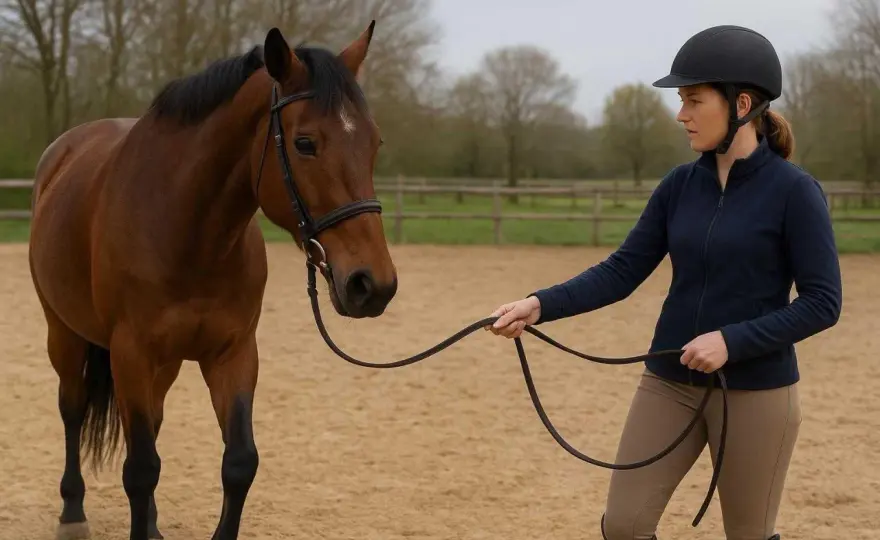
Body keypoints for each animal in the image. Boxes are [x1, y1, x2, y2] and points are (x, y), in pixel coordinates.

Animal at [27, 22, 397, 540]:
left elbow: (238, 463)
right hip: (64, 333)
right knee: (73, 409)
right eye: (305, 143)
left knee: (152, 423)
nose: (372, 284)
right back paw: (73, 512)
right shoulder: (131, 353)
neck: (187, 231)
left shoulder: (233, 353)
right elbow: (140, 469)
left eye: (374, 143)